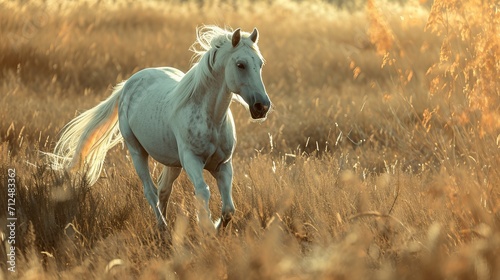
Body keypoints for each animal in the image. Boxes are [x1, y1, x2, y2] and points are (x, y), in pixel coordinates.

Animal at [47, 26, 270, 230]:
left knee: (163, 190)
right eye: (240, 64)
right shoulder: (192, 160)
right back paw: (162, 228)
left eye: (260, 64)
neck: (211, 118)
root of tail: (128, 84)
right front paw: (206, 228)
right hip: (137, 152)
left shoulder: (223, 165)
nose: (262, 106)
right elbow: (203, 190)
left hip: (173, 162)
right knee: (151, 192)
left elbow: (229, 209)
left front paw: (214, 228)